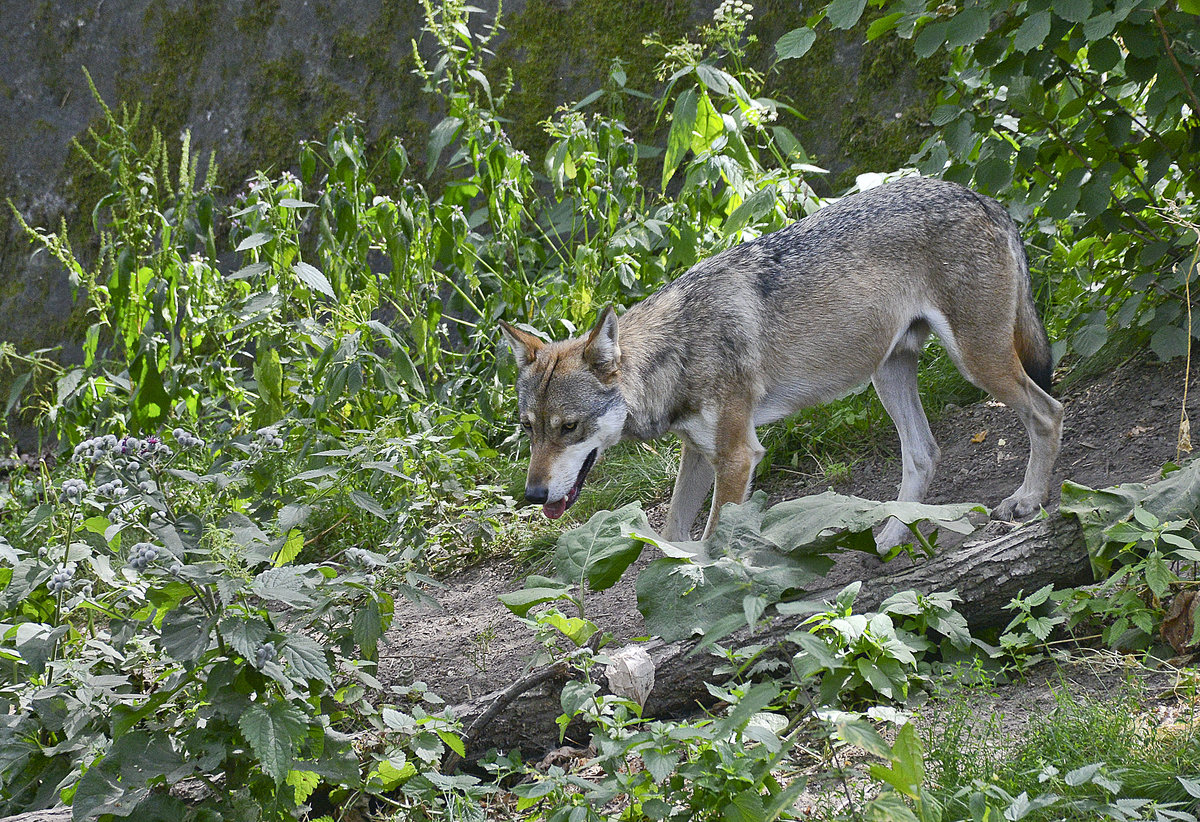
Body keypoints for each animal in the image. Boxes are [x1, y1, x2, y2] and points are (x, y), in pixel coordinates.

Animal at [501, 180, 1065, 552]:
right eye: (529, 429)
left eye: (569, 427)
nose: (532, 495)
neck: (679, 347)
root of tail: (983, 198)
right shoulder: (699, 453)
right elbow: (673, 536)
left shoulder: (737, 457)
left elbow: (713, 544)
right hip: (888, 376)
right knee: (925, 454)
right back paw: (887, 538)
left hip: (977, 363)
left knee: (1048, 412)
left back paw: (1026, 501)